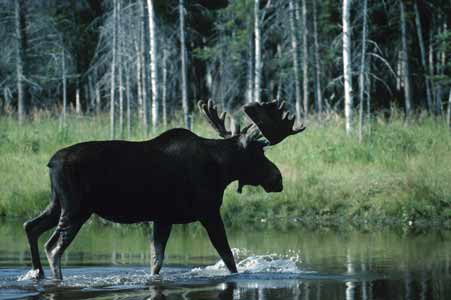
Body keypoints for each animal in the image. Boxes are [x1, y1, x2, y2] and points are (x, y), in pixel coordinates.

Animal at [23, 99, 308, 280]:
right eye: (259, 153)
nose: (277, 178)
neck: (220, 168)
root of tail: (51, 162)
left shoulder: (163, 218)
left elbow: (155, 262)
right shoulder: (208, 212)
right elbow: (228, 258)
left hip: (56, 203)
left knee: (30, 226)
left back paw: (37, 274)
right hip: (76, 208)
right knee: (53, 247)